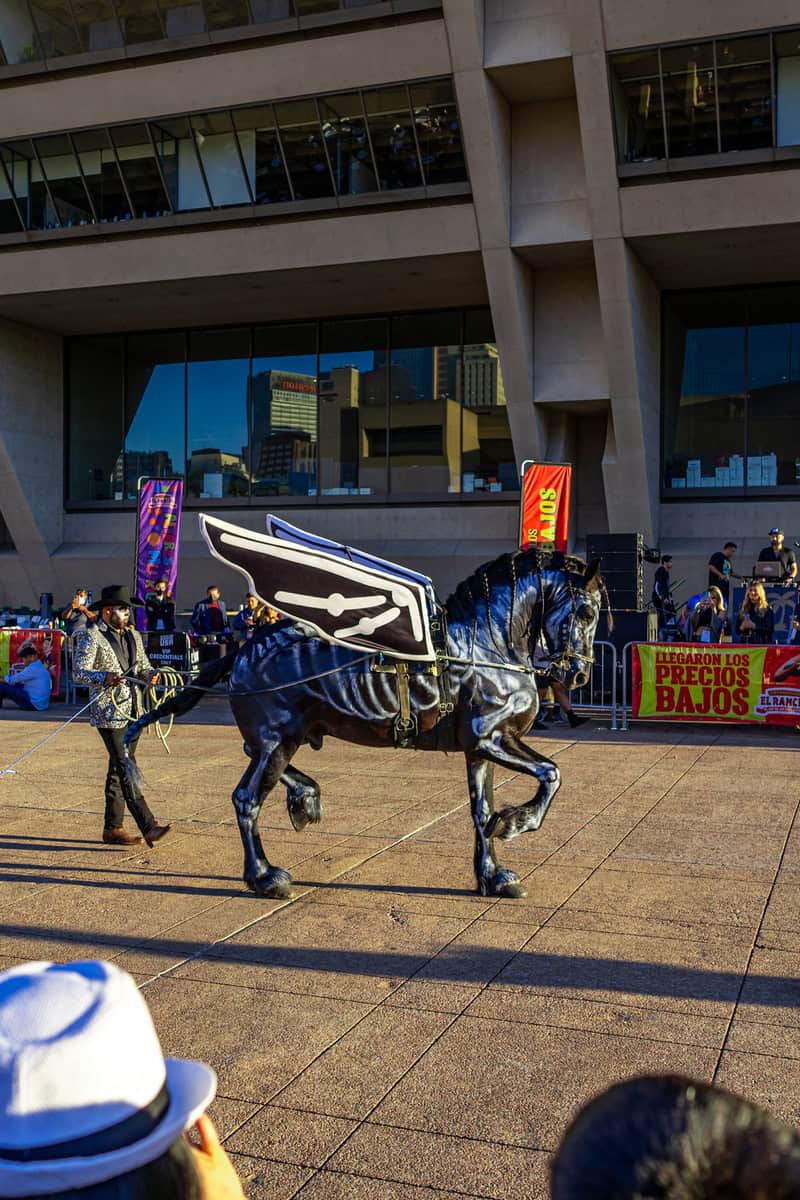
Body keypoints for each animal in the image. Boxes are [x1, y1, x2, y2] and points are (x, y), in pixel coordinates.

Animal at [125, 549, 599, 897]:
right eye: (587, 613)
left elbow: (481, 811)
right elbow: (551, 773)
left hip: (284, 738)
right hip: (276, 741)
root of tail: (245, 648)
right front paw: (516, 822)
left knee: (259, 764)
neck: (485, 645)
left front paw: (494, 875)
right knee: (246, 799)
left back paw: (305, 798)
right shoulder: (492, 739)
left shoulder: (478, 749)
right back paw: (264, 875)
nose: (578, 674)